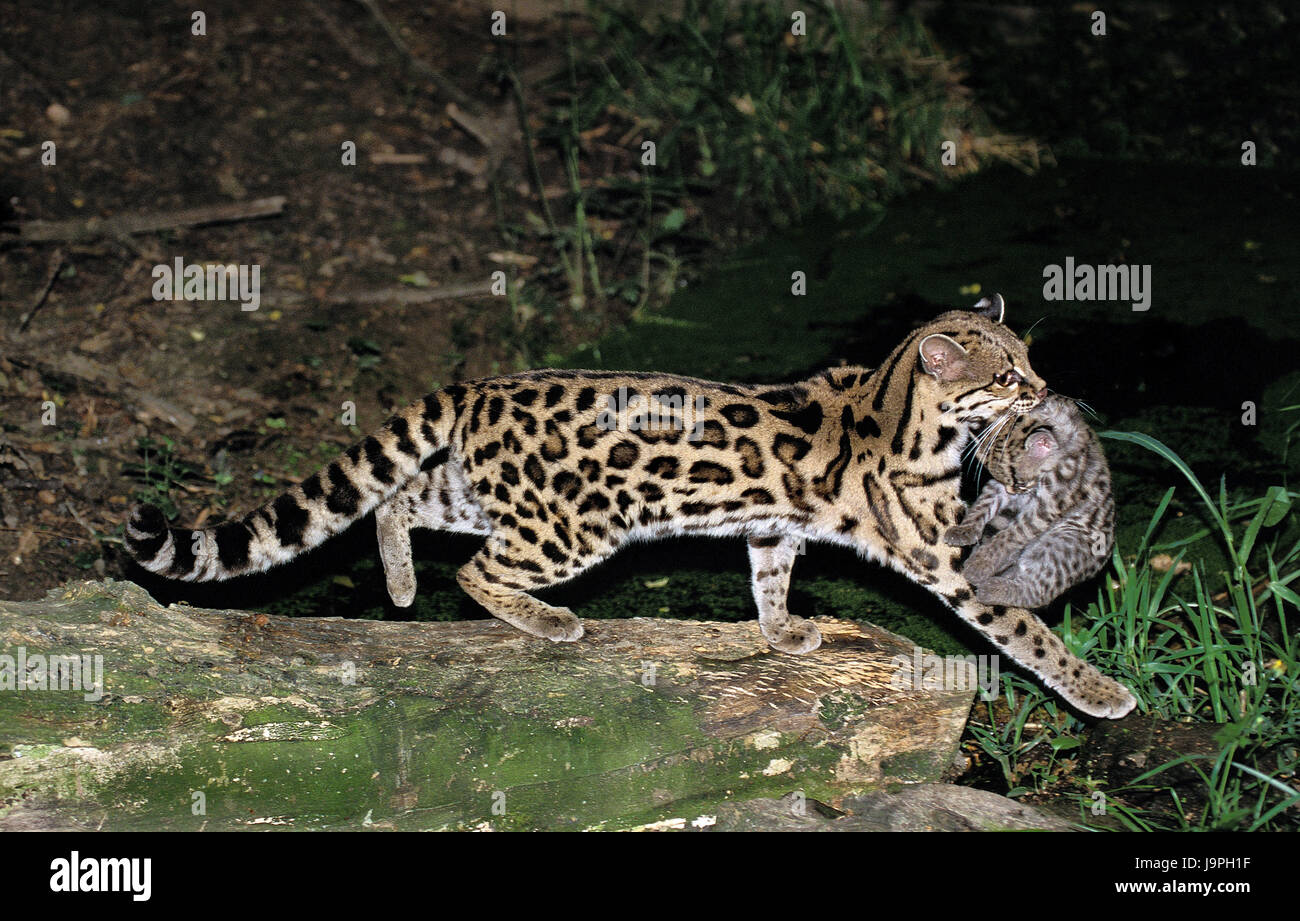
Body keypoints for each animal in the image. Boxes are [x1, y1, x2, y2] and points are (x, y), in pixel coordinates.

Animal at [946, 392, 1118, 608]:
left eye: (1019, 482)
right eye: (1003, 479)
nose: (1012, 491)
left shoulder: (1048, 504)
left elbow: (1010, 535)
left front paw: (981, 563)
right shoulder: (997, 488)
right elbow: (983, 506)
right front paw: (965, 529)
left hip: (1064, 543)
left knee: (1037, 592)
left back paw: (996, 589)